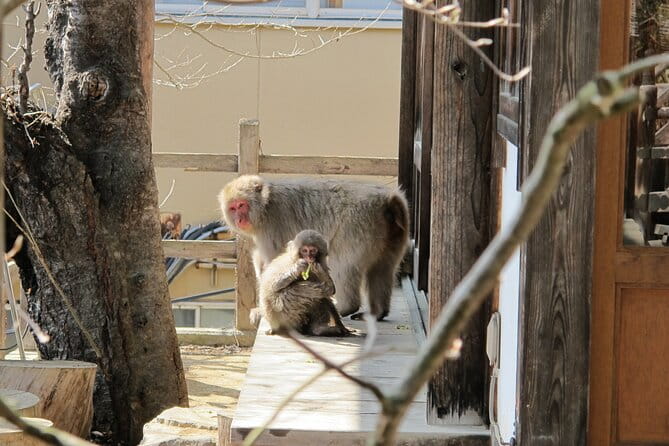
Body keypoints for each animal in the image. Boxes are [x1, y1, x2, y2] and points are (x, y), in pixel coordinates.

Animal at [218, 175, 409, 321]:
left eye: (241, 205)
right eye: (233, 208)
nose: (239, 219)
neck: (265, 206)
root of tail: (388, 200)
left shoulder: (271, 228)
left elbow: (275, 263)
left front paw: (263, 309)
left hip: (358, 226)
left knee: (344, 264)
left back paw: (346, 307)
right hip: (393, 235)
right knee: (383, 268)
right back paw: (378, 313)